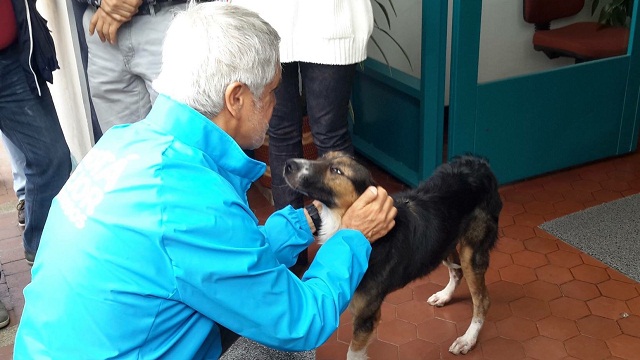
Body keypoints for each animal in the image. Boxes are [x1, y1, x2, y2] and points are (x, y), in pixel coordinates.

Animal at [284, 151, 500, 358]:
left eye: (336, 170)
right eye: (321, 157)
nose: (288, 164)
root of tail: (480, 164)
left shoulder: (366, 316)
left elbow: (353, 353)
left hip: (471, 251)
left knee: (483, 300)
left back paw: (468, 339)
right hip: (445, 239)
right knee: (457, 272)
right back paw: (444, 296)